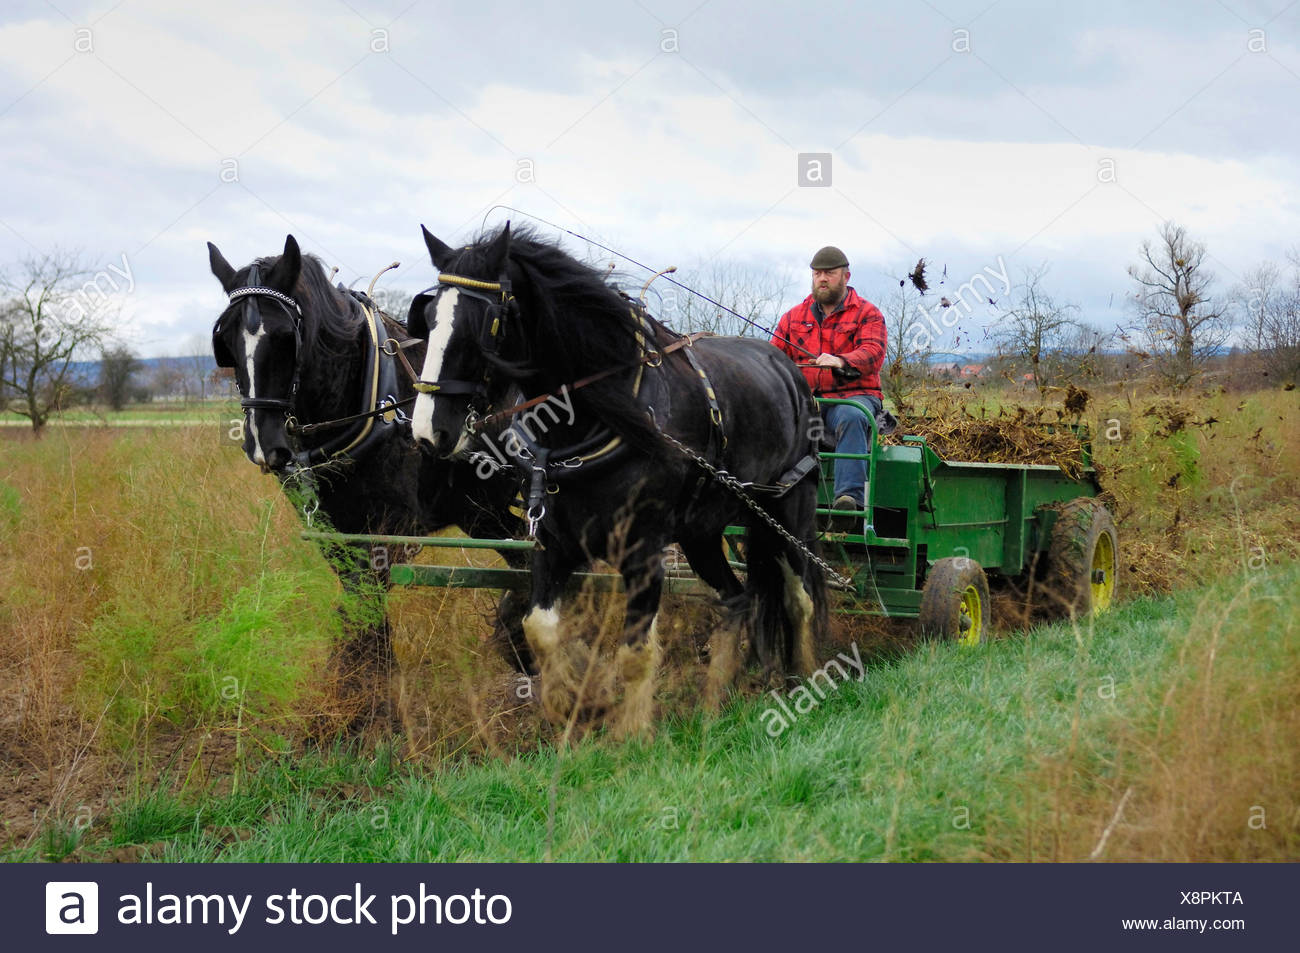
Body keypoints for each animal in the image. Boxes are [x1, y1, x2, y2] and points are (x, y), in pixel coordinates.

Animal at [207, 234, 528, 732]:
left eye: (285, 337)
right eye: (224, 341)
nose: (265, 445)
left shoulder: (391, 526)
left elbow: (366, 605)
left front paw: (372, 709)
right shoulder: (334, 529)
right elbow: (356, 605)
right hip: (482, 512)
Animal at [405, 223, 827, 737]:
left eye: (484, 323)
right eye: (428, 318)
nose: (428, 432)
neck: (598, 416)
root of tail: (787, 365)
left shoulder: (642, 551)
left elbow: (635, 652)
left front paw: (632, 733)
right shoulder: (552, 540)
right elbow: (539, 628)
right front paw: (577, 703)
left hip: (788, 509)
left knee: (799, 598)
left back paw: (806, 680)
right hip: (702, 532)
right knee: (737, 599)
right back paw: (711, 706)